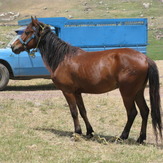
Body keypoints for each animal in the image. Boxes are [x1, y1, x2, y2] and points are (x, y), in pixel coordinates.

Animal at [10, 16, 162, 144]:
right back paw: (140, 138)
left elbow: (74, 112)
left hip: (127, 93)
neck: (63, 58)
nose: (13, 47)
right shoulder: (77, 92)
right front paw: (89, 132)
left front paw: (77, 133)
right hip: (138, 92)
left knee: (132, 113)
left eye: (28, 32)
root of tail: (144, 58)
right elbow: (83, 111)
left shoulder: (68, 92)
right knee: (145, 111)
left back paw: (122, 137)